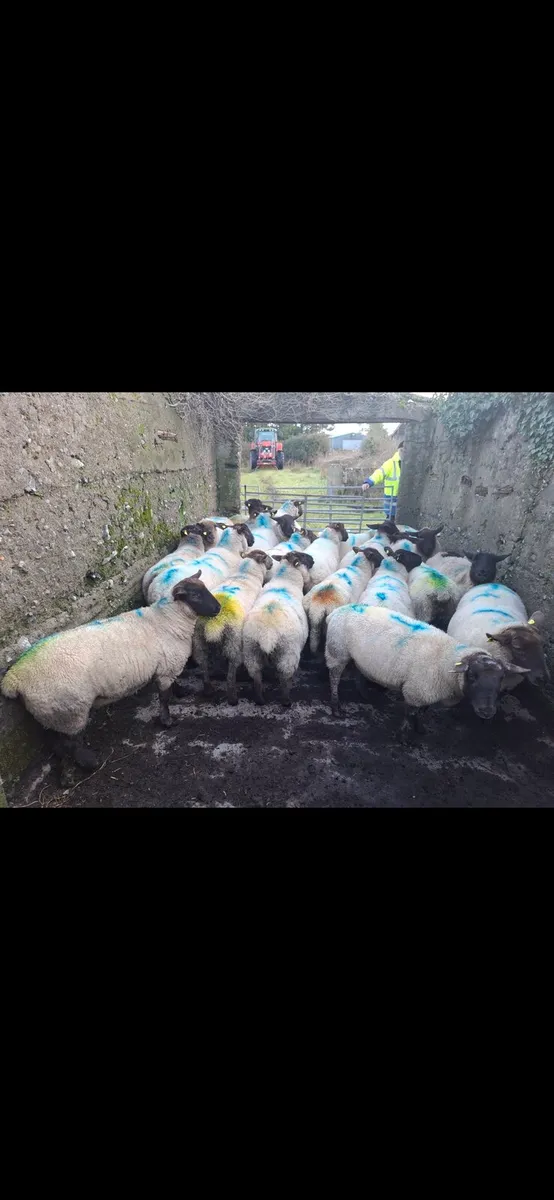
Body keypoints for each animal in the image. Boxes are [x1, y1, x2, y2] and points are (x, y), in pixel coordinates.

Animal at [1, 573, 221, 767]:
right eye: (195, 595)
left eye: (205, 588)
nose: (218, 608)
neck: (169, 619)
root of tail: (13, 678)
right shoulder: (167, 668)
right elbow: (164, 698)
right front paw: (167, 721)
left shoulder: (167, 666)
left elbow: (173, 685)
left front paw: (181, 692)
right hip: (70, 710)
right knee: (72, 742)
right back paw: (89, 762)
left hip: (53, 713)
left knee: (57, 742)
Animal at [192, 550, 274, 704]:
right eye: (265, 556)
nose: (272, 563)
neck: (246, 575)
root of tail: (214, 622)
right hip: (233, 641)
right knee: (231, 672)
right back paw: (233, 698)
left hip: (198, 639)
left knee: (203, 664)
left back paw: (208, 689)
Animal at [243, 551, 314, 707]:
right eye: (302, 556)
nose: (313, 560)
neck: (285, 580)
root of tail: (267, 635)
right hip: (288, 652)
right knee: (285, 677)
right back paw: (286, 700)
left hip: (251, 650)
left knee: (256, 676)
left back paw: (260, 699)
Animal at [325, 603, 518, 727]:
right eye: (472, 676)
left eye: (501, 678)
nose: (487, 712)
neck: (446, 658)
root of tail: (337, 611)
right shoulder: (415, 691)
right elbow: (409, 715)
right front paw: (405, 737)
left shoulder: (428, 693)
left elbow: (422, 712)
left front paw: (420, 729)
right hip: (337, 651)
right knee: (334, 678)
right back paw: (335, 706)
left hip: (356, 655)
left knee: (358, 671)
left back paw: (364, 694)